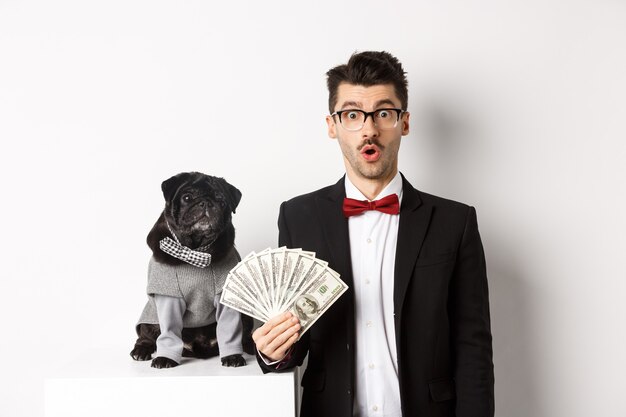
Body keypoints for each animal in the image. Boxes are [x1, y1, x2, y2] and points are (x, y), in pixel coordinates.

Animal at [129, 171, 254, 368]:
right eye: (187, 198)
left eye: (221, 201)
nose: (206, 203)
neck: (195, 250)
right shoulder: (169, 297)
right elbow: (168, 333)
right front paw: (165, 358)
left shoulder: (224, 296)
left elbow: (230, 330)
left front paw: (232, 356)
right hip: (150, 316)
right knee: (147, 335)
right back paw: (141, 350)